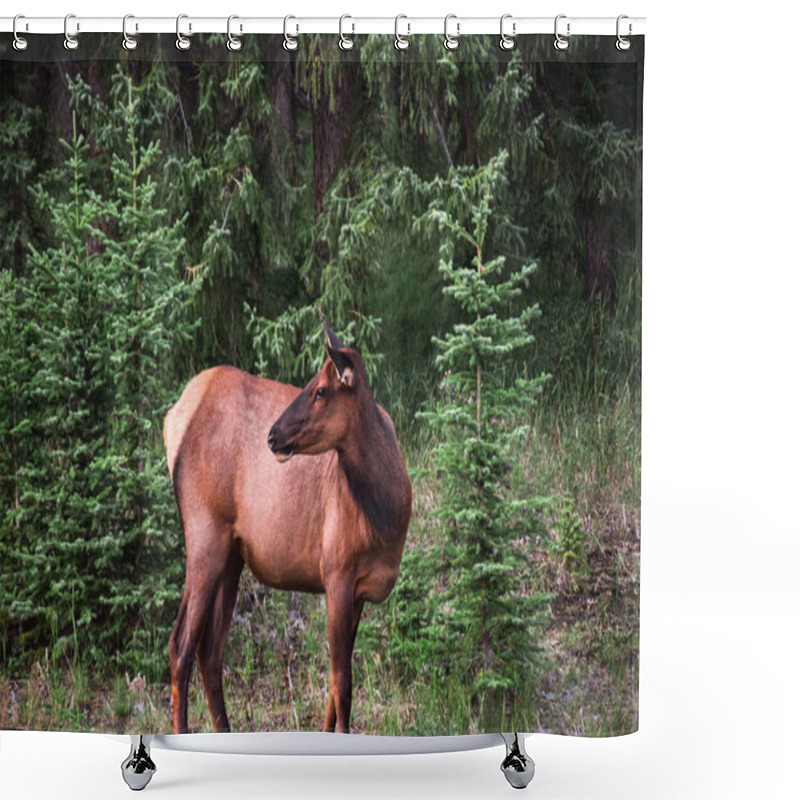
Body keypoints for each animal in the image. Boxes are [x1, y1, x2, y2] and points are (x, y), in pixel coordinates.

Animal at [163, 324, 412, 732]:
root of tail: (174, 419)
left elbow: (334, 688)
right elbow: (343, 684)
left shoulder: (359, 590)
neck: (389, 514)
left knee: (210, 649)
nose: (272, 435)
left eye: (320, 390)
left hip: (232, 556)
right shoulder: (336, 573)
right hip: (205, 534)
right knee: (180, 644)